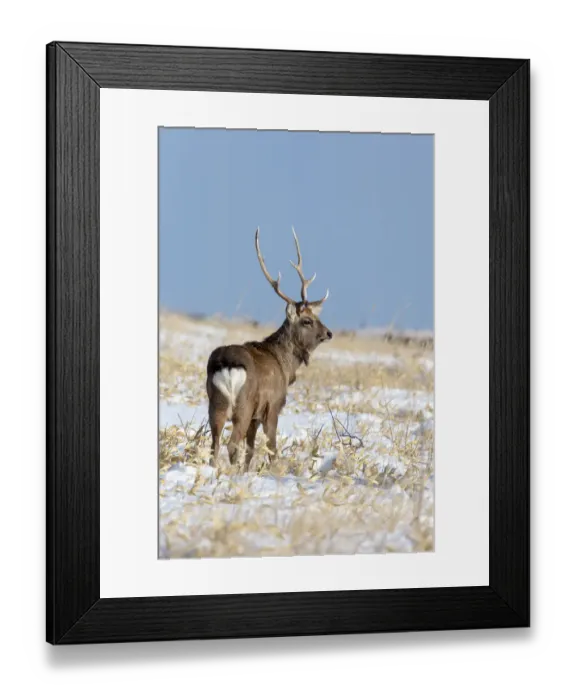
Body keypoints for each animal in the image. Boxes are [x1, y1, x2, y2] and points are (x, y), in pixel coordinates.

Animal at [206, 227, 333, 470]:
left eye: (316, 316)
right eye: (307, 321)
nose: (329, 333)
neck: (285, 365)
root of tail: (226, 364)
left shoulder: (255, 417)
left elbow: (251, 449)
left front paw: (247, 472)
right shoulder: (272, 406)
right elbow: (272, 448)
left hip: (216, 403)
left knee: (214, 445)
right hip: (243, 405)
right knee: (231, 444)